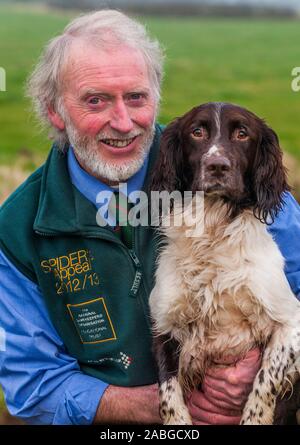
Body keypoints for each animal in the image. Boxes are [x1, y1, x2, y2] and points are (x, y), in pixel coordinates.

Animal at [149, 101, 300, 424]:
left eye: (242, 134)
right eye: (197, 132)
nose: (217, 166)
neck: (212, 232)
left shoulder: (291, 323)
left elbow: (265, 380)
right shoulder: (163, 325)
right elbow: (167, 393)